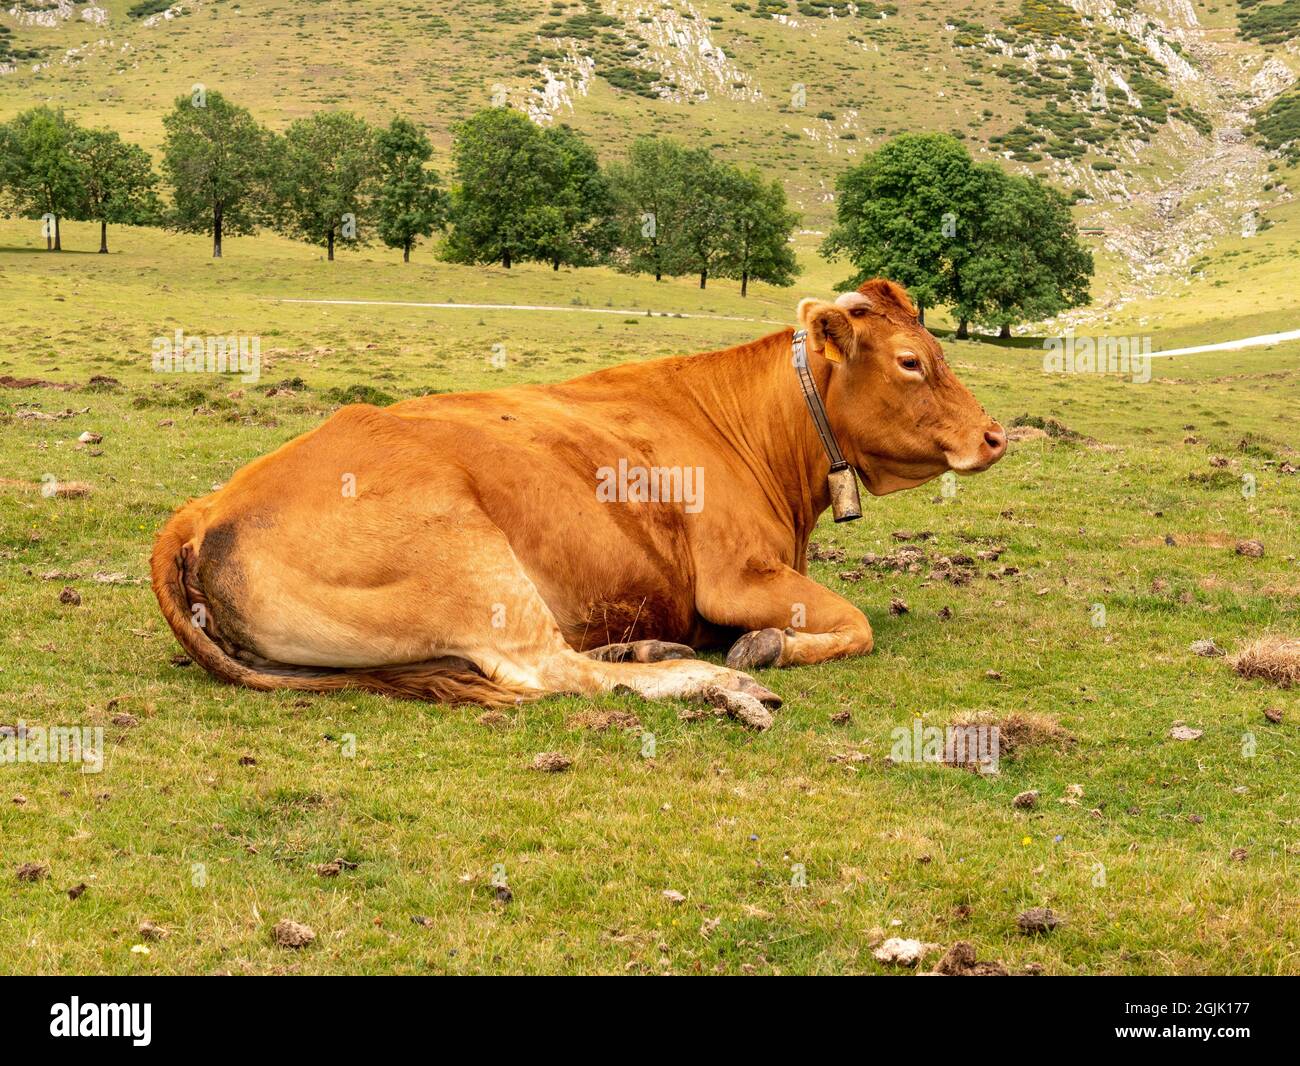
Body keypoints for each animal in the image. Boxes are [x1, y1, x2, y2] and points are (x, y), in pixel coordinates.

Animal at [151, 278, 1006, 710]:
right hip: (471, 556)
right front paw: (762, 648)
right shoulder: (737, 578)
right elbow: (858, 623)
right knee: (551, 670)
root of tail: (205, 507)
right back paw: (713, 679)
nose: (996, 435)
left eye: (934, 347)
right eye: (909, 362)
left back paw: (649, 647)